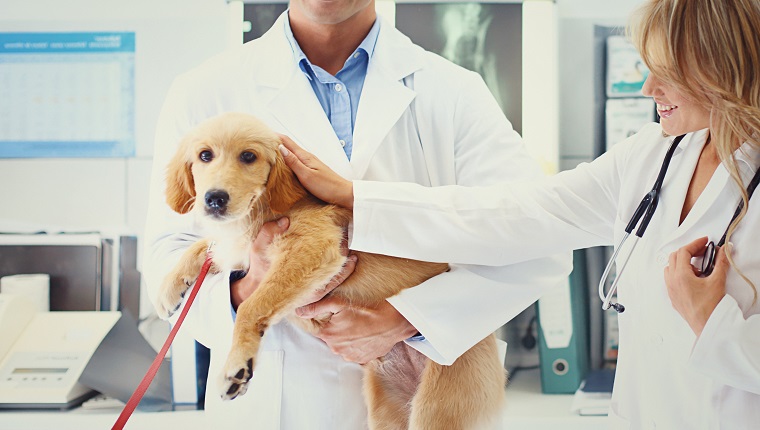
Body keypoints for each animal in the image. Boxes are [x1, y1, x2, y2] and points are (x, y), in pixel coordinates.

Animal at [156, 112, 504, 428]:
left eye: (248, 156)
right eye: (205, 155)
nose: (214, 199)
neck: (260, 209)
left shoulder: (314, 247)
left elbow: (251, 306)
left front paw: (238, 364)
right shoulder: (238, 250)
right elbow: (201, 246)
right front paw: (168, 290)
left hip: (437, 409)